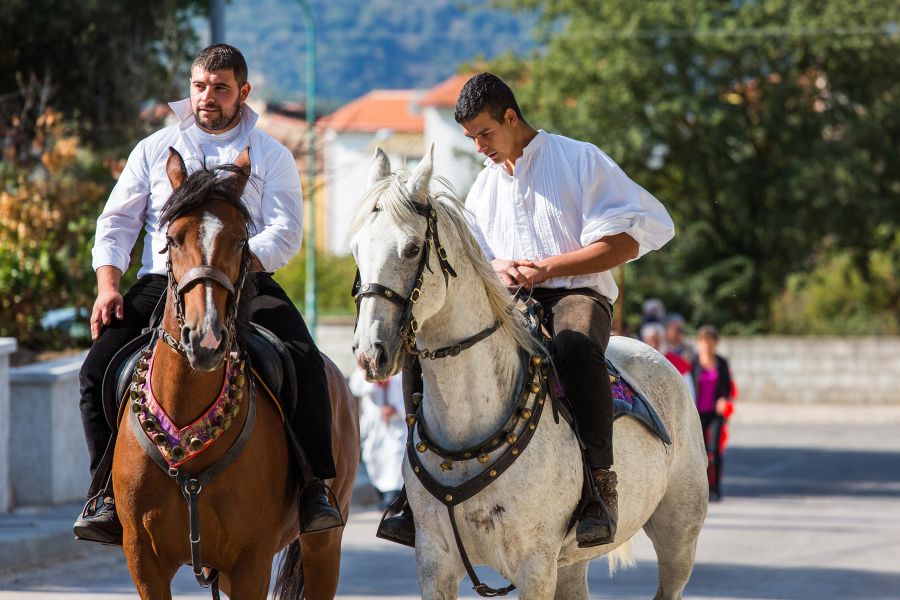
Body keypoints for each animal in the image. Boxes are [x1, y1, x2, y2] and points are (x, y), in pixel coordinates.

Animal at [114, 149, 360, 600]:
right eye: (173, 238)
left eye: (241, 240)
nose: (206, 337)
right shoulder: (143, 561)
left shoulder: (251, 562)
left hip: (324, 544)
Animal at [352, 146, 712, 600]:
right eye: (356, 250)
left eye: (413, 248)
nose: (370, 352)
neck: (468, 428)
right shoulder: (433, 563)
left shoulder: (535, 566)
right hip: (572, 563)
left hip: (679, 535)